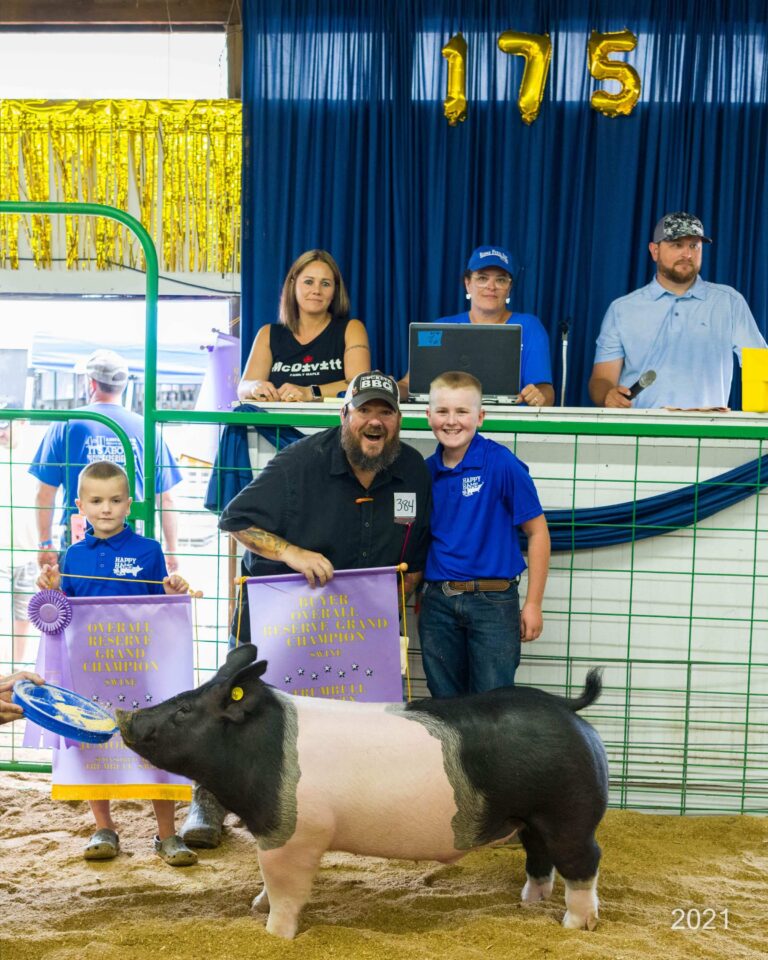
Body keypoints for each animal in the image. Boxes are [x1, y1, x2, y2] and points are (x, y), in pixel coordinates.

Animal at [117, 644, 608, 936]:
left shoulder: (294, 833)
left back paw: (574, 925)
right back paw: (528, 906)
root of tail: (567, 708)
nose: (126, 717)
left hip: (568, 812)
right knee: (540, 860)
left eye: (183, 710)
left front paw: (273, 932)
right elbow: (266, 882)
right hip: (532, 820)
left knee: (584, 862)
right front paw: (255, 908)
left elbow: (285, 888)